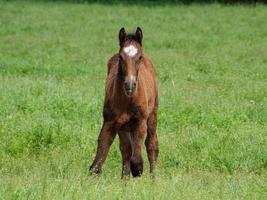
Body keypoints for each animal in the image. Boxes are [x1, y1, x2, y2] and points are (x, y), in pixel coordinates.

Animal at [89, 26, 159, 178]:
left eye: (139, 57)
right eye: (121, 57)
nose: (130, 86)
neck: (128, 100)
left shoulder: (140, 122)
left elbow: (137, 163)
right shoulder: (110, 123)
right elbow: (97, 163)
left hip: (152, 115)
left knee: (152, 146)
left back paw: (154, 179)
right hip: (123, 126)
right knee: (126, 150)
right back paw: (124, 180)